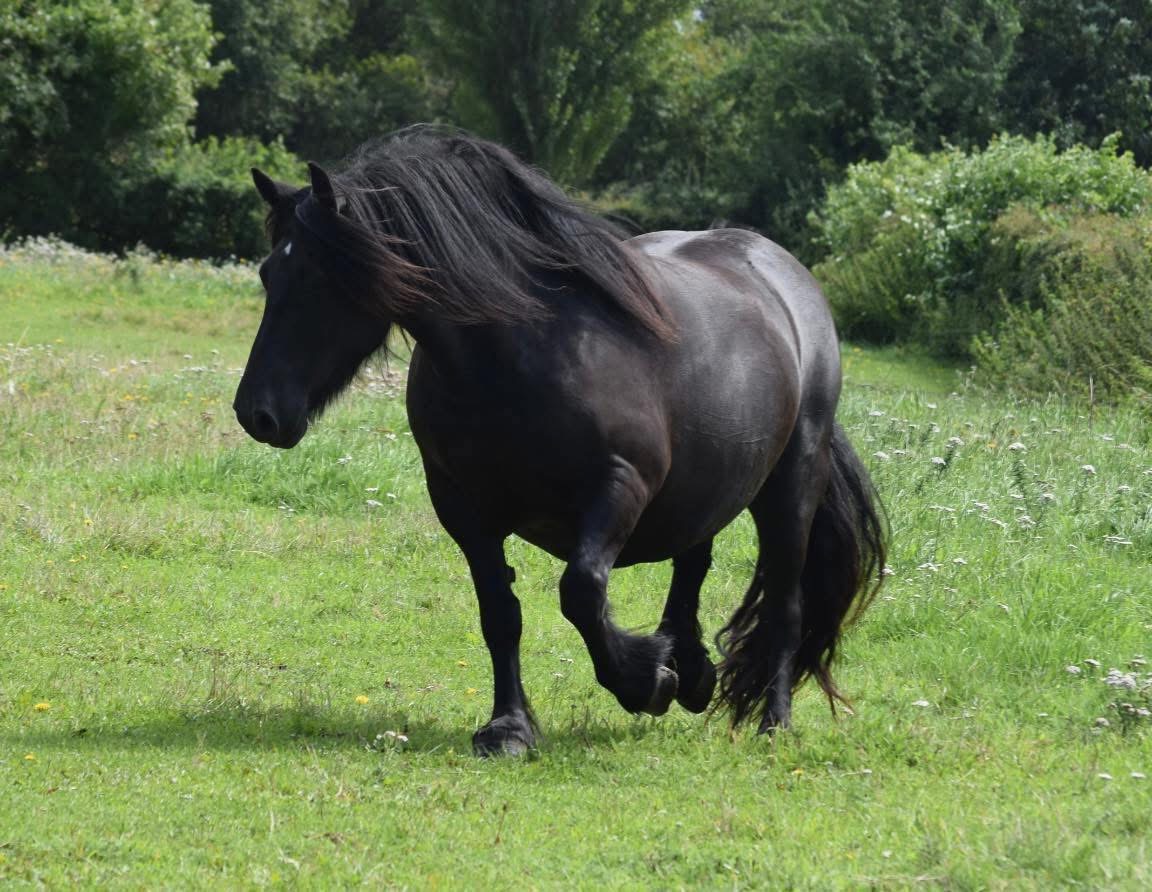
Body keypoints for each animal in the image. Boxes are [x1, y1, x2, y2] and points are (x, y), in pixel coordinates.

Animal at [234, 126, 886, 755]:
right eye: (268, 273)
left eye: (322, 277)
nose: (256, 412)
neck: (518, 355)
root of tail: (785, 276)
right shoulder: (461, 507)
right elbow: (499, 613)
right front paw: (510, 728)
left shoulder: (621, 484)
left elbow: (581, 591)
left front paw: (643, 681)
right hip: (706, 480)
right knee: (694, 558)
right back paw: (692, 667)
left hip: (791, 482)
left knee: (784, 605)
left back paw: (772, 723)